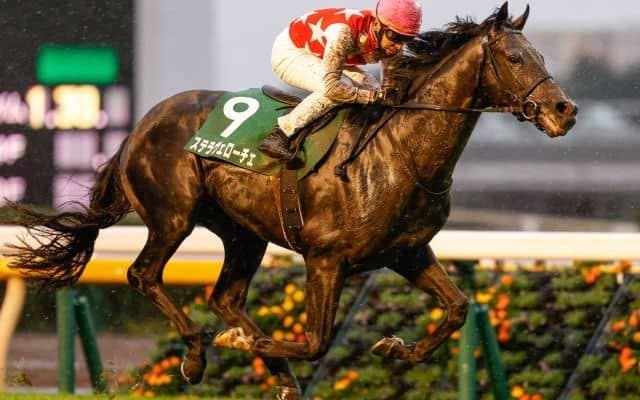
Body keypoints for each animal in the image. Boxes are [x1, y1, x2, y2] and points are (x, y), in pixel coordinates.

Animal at [6, 3, 577, 399]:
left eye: (542, 55)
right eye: (513, 57)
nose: (564, 110)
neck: (401, 151)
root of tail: (140, 126)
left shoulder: (408, 252)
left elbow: (457, 308)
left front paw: (396, 346)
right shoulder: (326, 258)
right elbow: (317, 340)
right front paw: (240, 345)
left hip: (243, 232)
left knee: (226, 298)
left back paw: (272, 372)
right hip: (172, 216)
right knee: (143, 275)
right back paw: (199, 352)